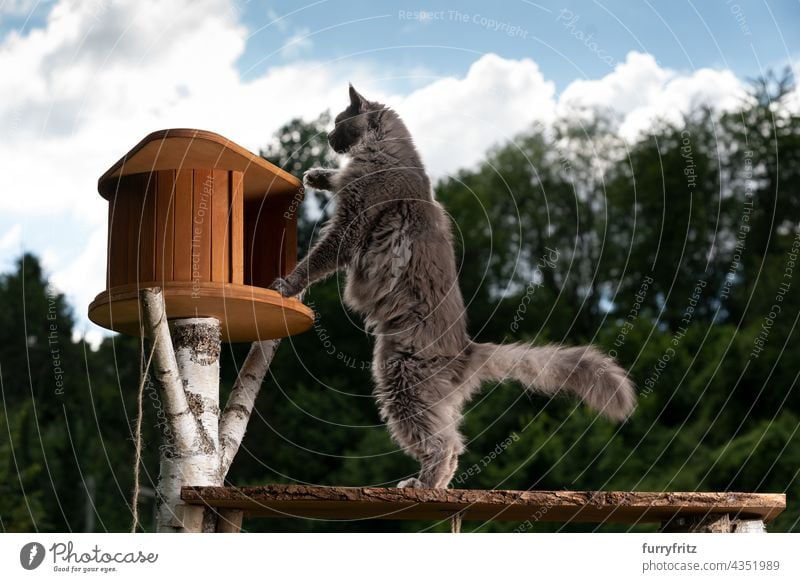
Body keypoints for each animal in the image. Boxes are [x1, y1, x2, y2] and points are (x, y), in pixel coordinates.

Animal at [272, 85, 636, 488]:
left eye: (338, 122)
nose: (327, 137)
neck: (385, 154)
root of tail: (466, 350)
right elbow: (336, 184)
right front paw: (318, 175)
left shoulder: (350, 227)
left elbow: (315, 260)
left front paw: (287, 285)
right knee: (454, 444)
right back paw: (434, 485)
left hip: (401, 381)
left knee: (444, 444)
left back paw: (423, 484)